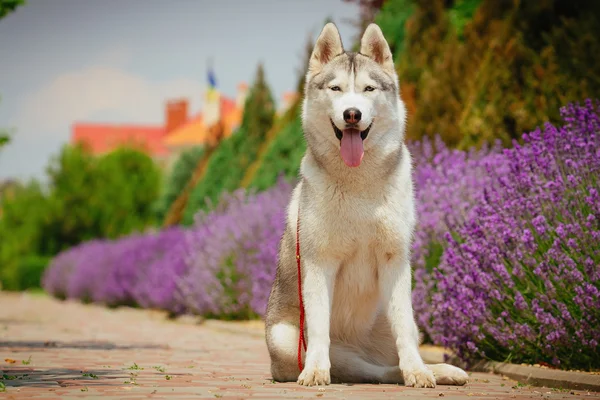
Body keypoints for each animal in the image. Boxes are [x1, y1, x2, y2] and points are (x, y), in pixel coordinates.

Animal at [264, 22, 468, 388]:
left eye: (368, 88)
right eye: (336, 88)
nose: (352, 113)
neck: (358, 183)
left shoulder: (394, 259)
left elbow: (404, 331)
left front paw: (418, 371)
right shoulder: (319, 263)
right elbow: (318, 328)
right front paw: (314, 370)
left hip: (400, 324)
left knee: (393, 357)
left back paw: (434, 370)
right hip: (287, 339)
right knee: (368, 369)